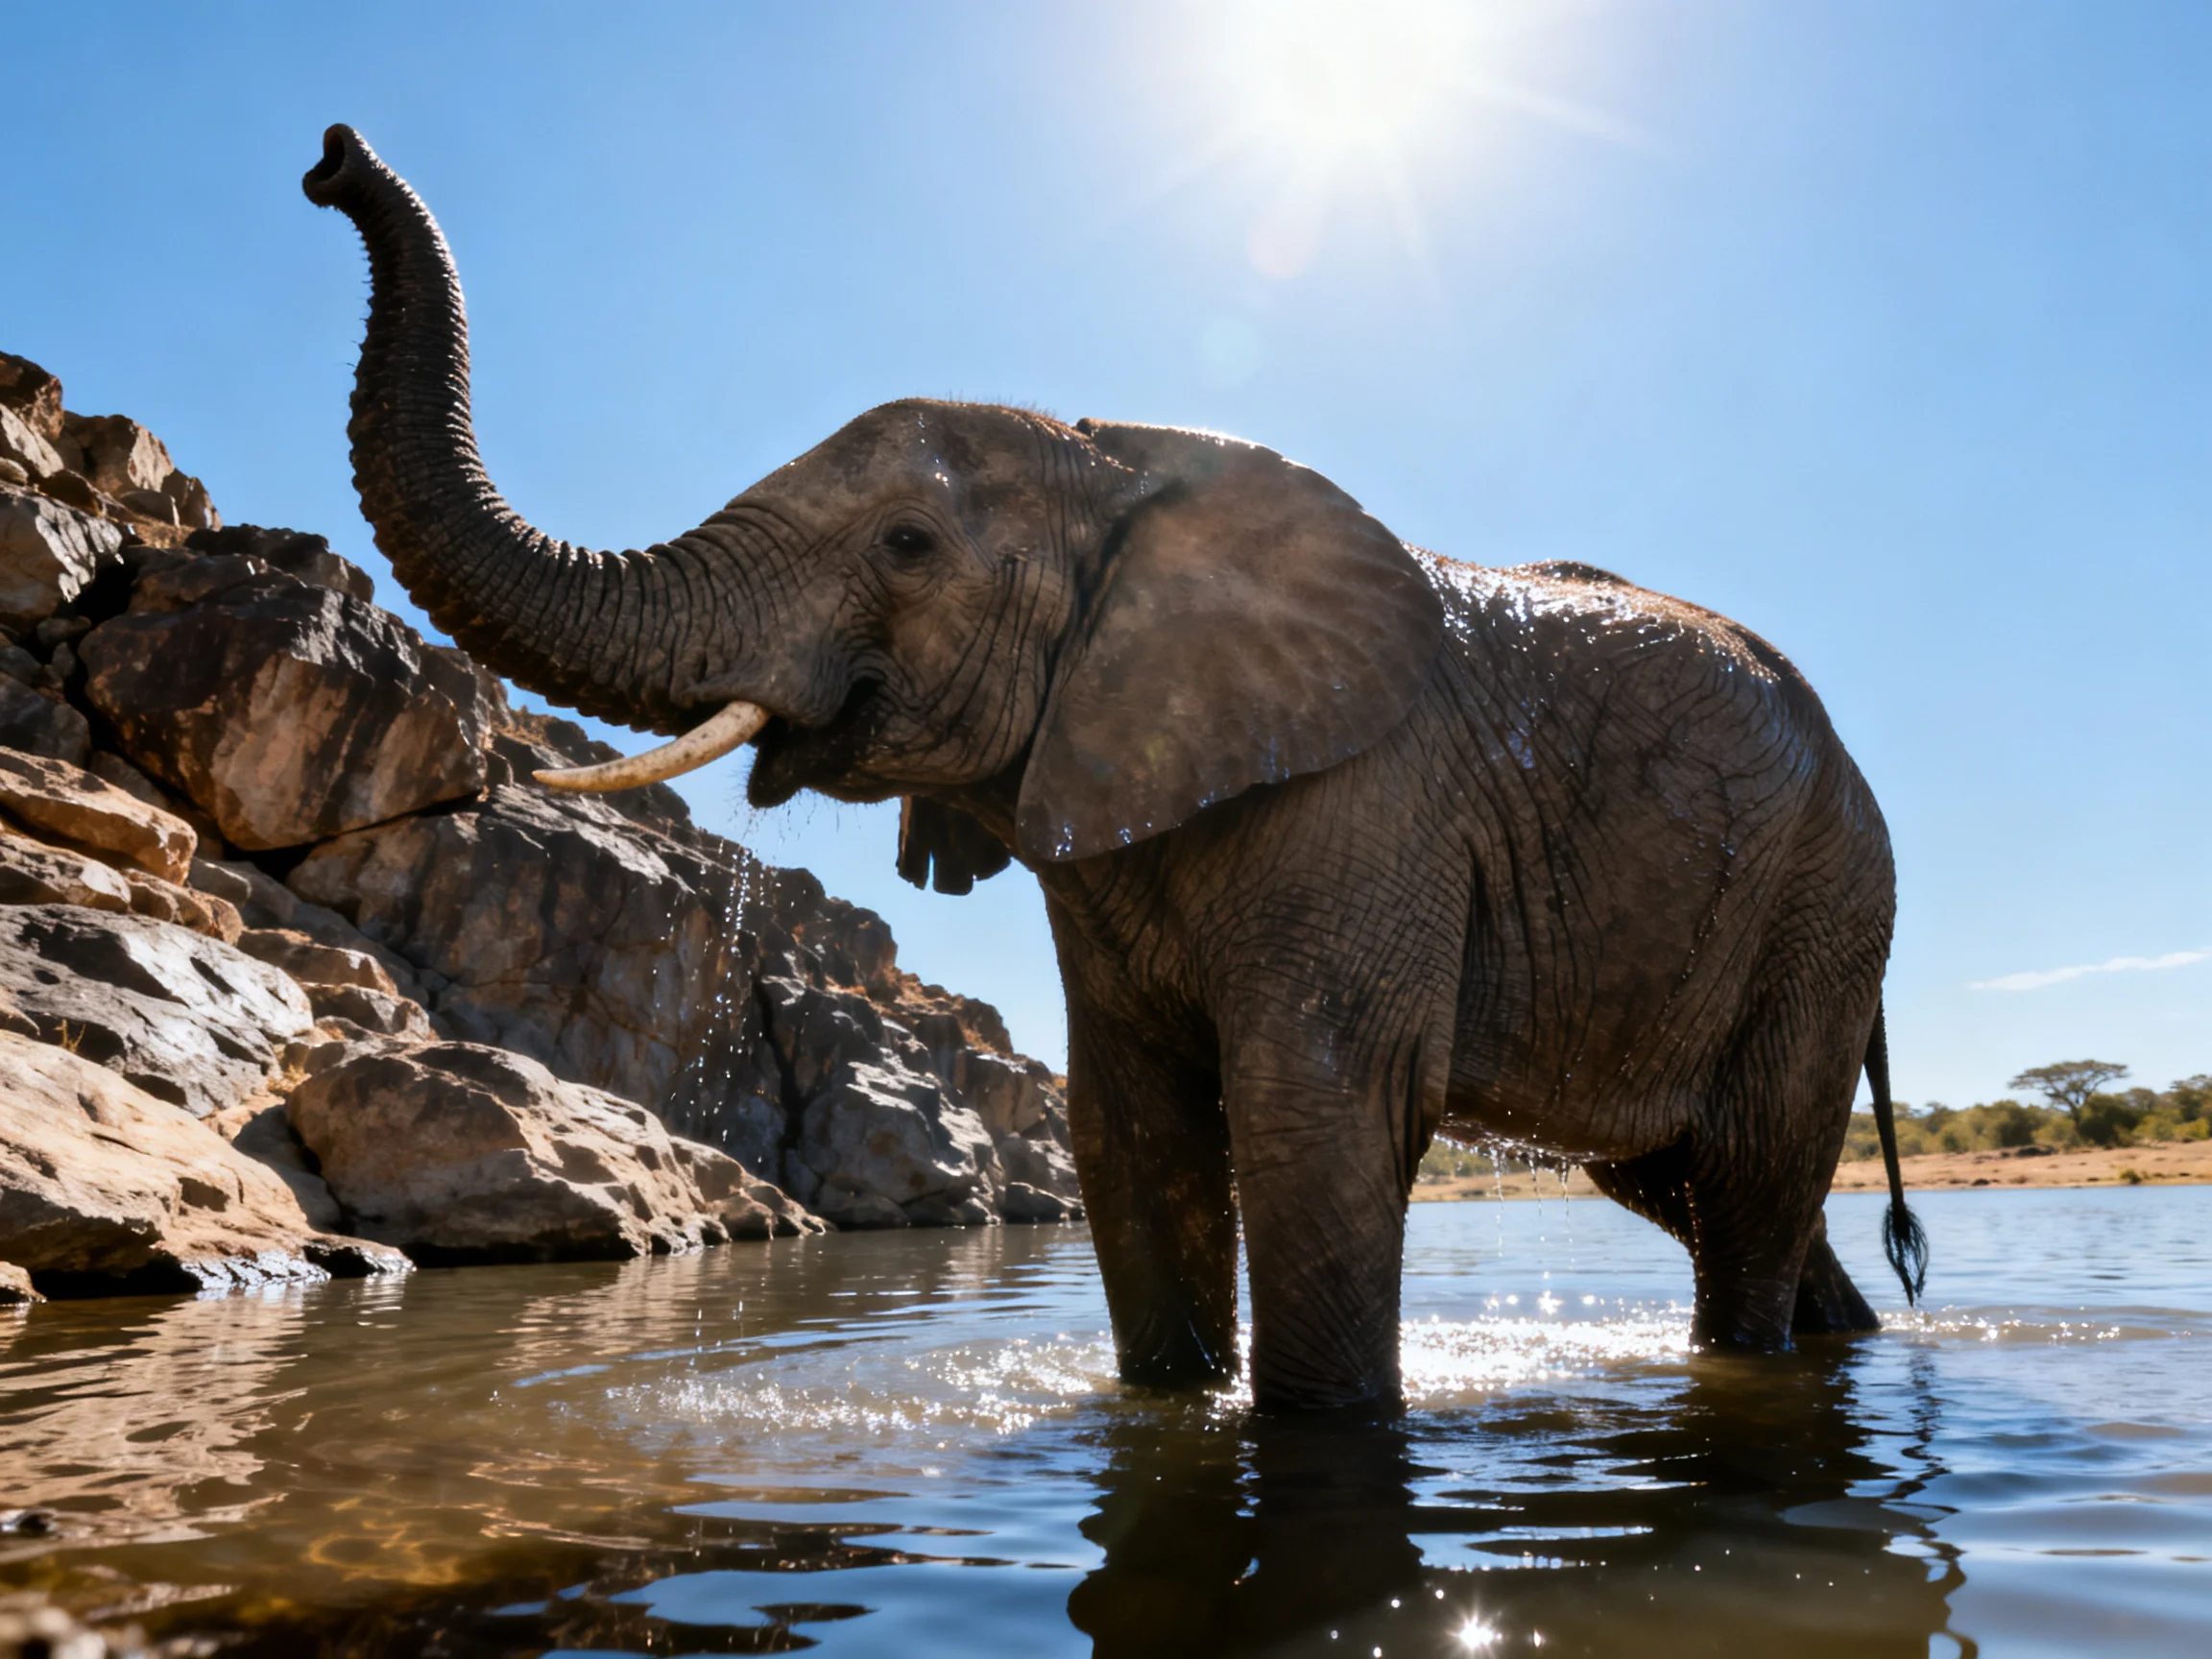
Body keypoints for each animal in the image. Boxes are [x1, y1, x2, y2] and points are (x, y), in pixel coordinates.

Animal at [303, 126, 1925, 1413]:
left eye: (907, 544)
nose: (328, 161)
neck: (1122, 467)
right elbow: (1132, 1133)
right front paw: (1172, 1408)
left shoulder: (1370, 803)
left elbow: (1314, 1109)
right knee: (1689, 1179)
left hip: (1824, 903)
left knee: (1755, 1167)